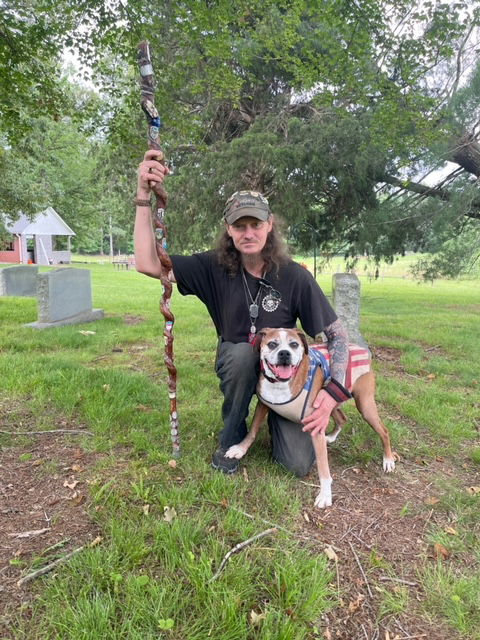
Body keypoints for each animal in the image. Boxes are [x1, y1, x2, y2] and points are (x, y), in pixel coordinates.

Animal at [225, 328, 398, 508]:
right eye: (272, 344)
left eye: (294, 344)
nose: (284, 353)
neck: (281, 384)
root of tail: (360, 348)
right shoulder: (263, 405)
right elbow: (252, 431)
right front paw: (240, 449)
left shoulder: (316, 424)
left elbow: (323, 465)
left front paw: (325, 494)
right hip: (329, 401)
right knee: (342, 418)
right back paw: (331, 437)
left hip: (364, 405)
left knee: (384, 431)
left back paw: (388, 459)